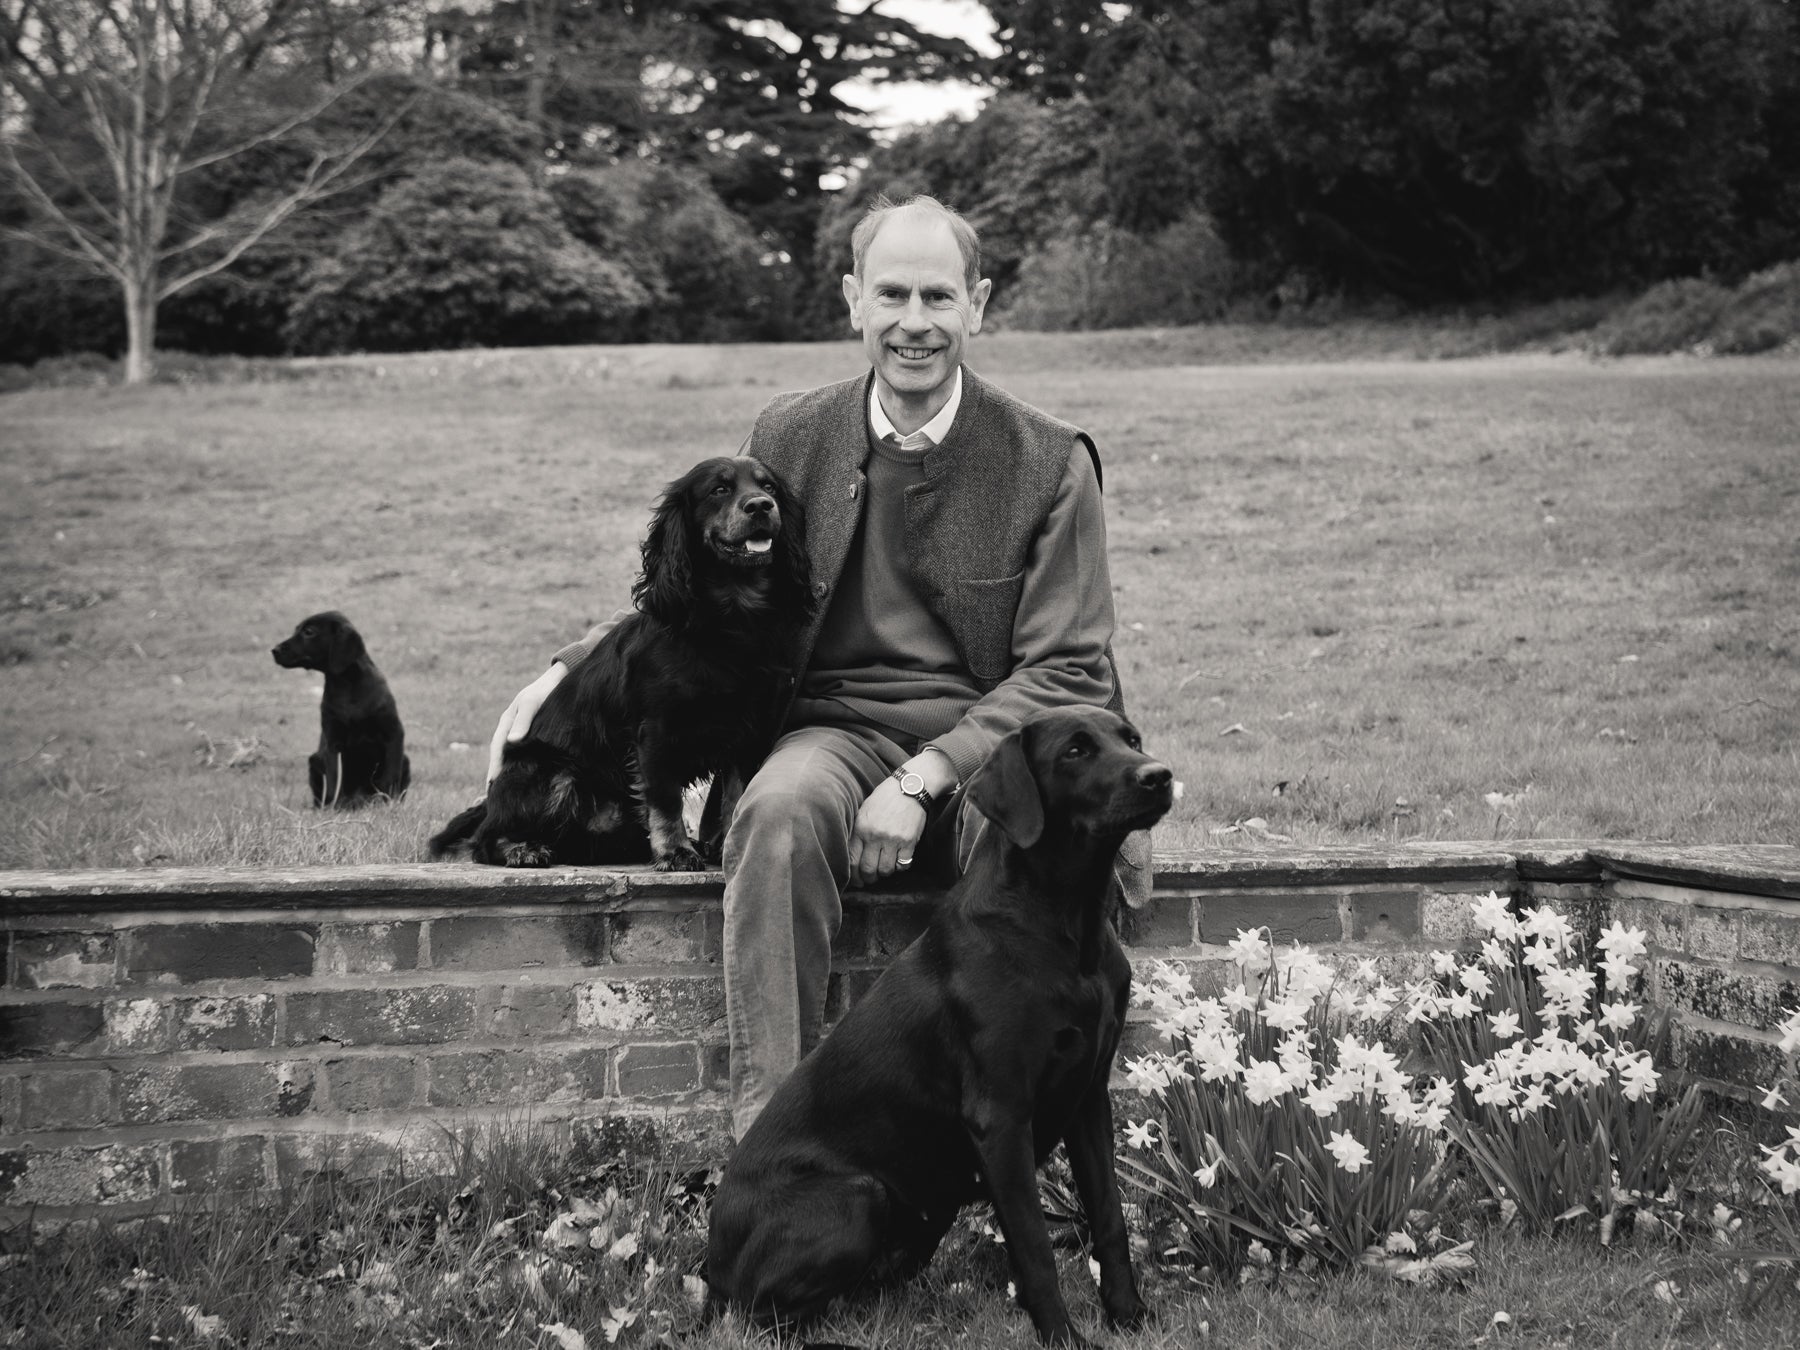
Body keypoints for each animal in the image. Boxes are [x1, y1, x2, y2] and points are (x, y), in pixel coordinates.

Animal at [270, 619, 412, 810]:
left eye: (309, 631)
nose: (275, 650)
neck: (346, 684)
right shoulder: (333, 741)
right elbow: (334, 779)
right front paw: (337, 807)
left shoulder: (393, 733)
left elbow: (389, 776)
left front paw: (387, 803)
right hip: (314, 761)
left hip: (405, 760)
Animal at [428, 460, 810, 871]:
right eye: (719, 490)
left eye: (769, 487)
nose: (761, 506)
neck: (731, 619)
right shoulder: (655, 732)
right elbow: (665, 801)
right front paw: (675, 851)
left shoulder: (747, 730)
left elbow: (737, 796)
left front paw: (727, 848)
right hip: (555, 773)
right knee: (484, 839)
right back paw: (522, 849)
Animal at [702, 702, 1166, 1346]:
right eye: (1075, 751)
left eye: (1132, 740)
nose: (1159, 776)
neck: (1068, 927)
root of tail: (709, 1266)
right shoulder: (1001, 1118)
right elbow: (1035, 1248)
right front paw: (1063, 1337)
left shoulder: (1089, 1096)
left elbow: (1109, 1216)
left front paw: (1128, 1315)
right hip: (857, 1195)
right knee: (760, 1314)